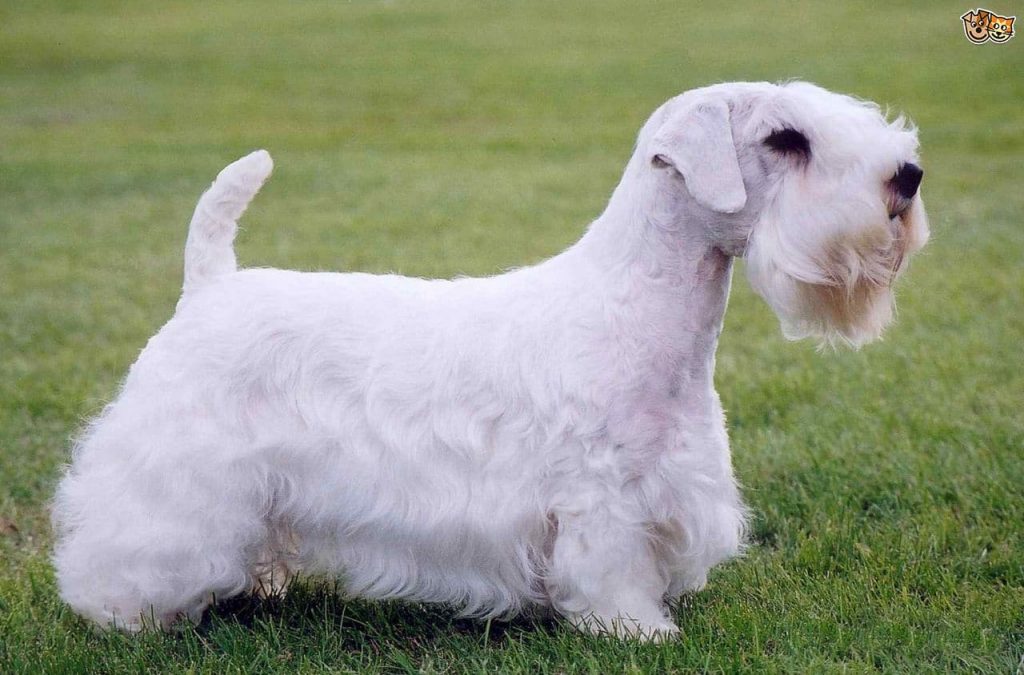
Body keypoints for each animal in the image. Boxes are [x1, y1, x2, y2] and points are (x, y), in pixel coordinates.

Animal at [51, 80, 929, 639]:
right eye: (786, 139)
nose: (909, 176)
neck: (633, 307)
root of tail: (210, 284)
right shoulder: (601, 497)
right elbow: (612, 570)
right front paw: (639, 631)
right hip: (177, 475)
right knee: (131, 540)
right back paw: (128, 615)